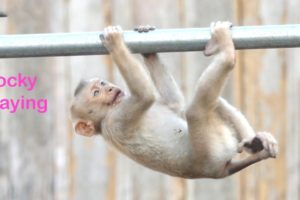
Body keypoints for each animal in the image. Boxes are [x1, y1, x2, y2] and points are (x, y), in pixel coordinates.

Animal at [69, 21, 276, 178]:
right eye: (96, 93)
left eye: (103, 84)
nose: (110, 88)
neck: (109, 112)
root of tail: (218, 171)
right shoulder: (116, 121)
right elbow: (145, 95)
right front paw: (115, 43)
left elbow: (174, 103)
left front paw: (147, 48)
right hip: (211, 150)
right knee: (195, 110)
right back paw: (224, 49)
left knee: (213, 104)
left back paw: (256, 143)